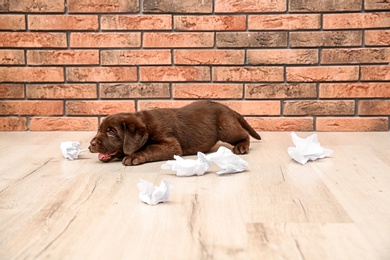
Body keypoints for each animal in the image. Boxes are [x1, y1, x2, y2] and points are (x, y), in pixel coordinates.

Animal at [88, 100, 258, 166]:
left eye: (111, 132)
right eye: (99, 129)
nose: (91, 144)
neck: (146, 124)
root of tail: (229, 109)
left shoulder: (170, 145)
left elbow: (149, 148)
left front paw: (133, 156)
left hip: (226, 128)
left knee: (244, 134)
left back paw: (241, 147)